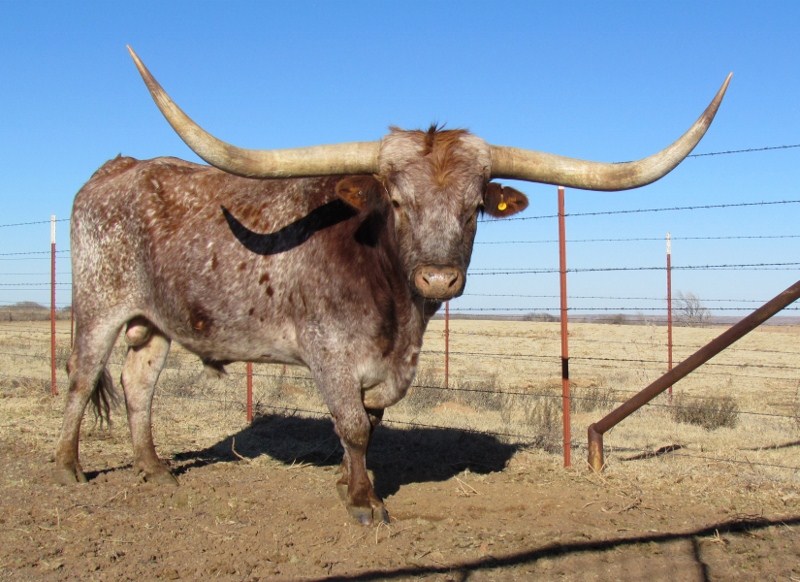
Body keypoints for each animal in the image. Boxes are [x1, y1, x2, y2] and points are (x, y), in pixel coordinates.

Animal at [54, 46, 730, 524]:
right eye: (398, 202)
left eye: (473, 208)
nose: (438, 275)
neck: (399, 310)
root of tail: (115, 169)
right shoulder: (328, 354)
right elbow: (352, 424)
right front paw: (363, 503)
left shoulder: (388, 364)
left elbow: (372, 422)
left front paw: (348, 482)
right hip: (99, 305)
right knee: (83, 378)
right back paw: (68, 469)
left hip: (152, 323)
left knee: (138, 385)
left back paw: (153, 468)